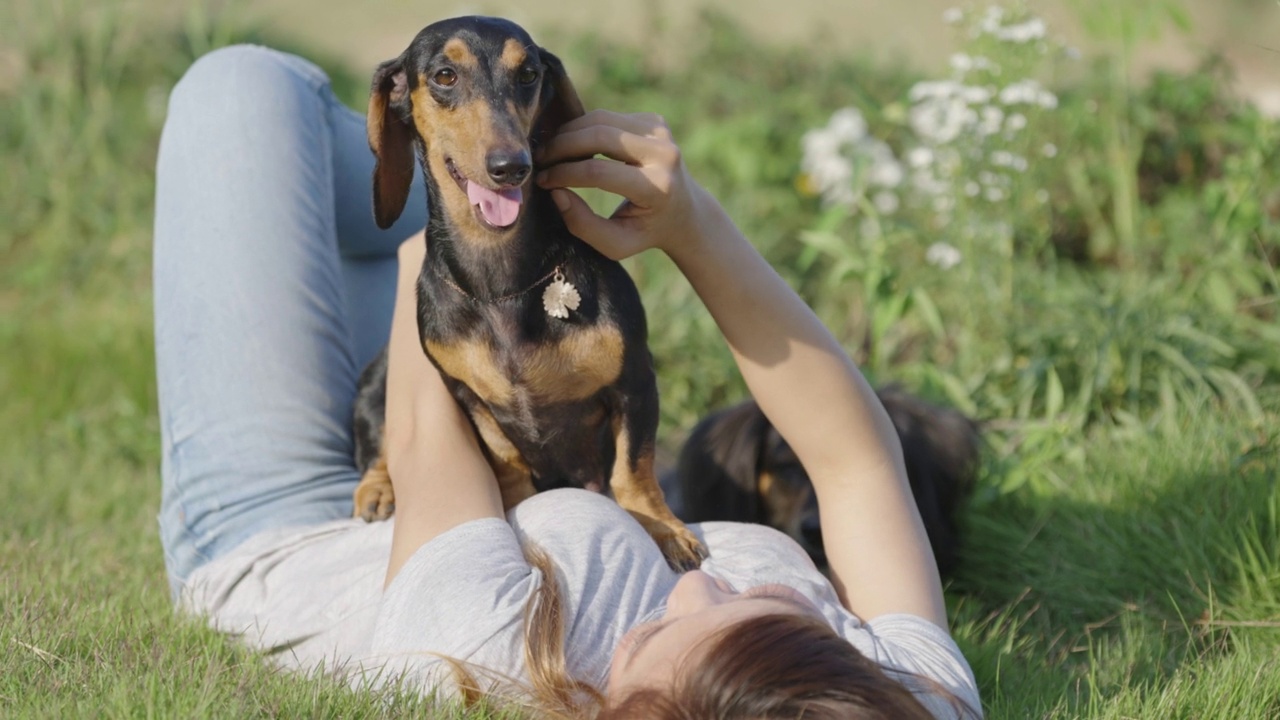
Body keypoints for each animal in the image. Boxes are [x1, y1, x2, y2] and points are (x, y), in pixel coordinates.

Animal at [350, 16, 706, 568]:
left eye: (529, 74)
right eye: (445, 75)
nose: (510, 166)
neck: (500, 284)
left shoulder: (636, 382)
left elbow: (634, 468)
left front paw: (661, 527)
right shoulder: (467, 396)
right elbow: (507, 459)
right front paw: (516, 505)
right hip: (377, 379)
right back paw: (377, 488)